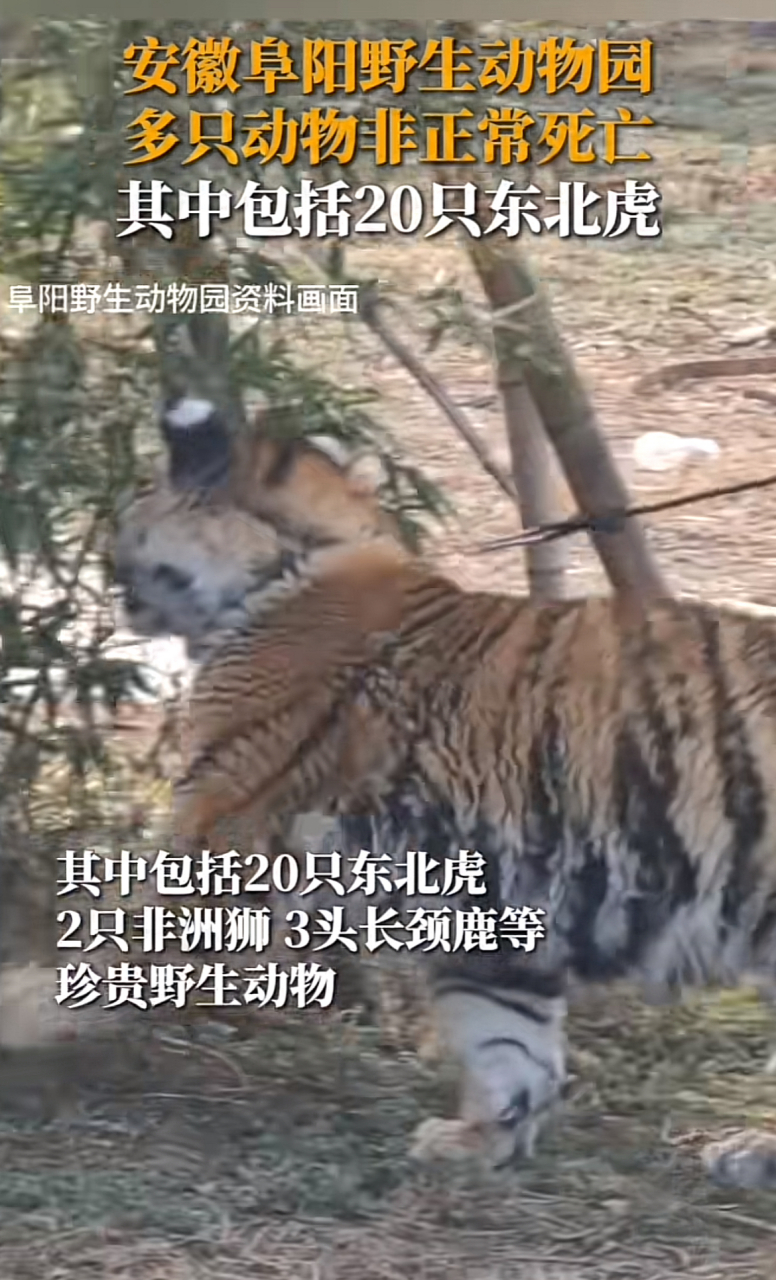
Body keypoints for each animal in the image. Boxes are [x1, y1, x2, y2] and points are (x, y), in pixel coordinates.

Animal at [113, 394, 776, 1189]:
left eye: (138, 497)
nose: (106, 547)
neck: (291, 563)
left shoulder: (222, 826)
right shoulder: (496, 918)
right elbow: (507, 1042)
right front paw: (481, 1141)